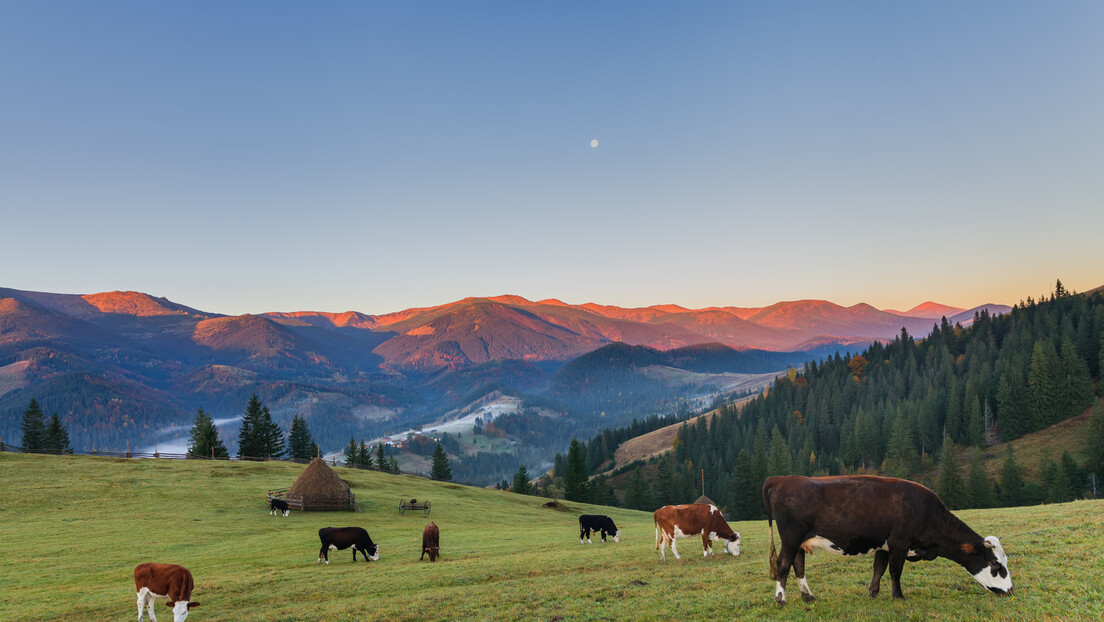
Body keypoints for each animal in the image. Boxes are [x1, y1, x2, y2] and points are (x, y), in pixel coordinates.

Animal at [763, 477, 1011, 605]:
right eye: (994, 563)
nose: (1010, 590)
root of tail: (783, 479)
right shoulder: (899, 543)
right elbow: (894, 571)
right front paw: (898, 596)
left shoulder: (884, 544)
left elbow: (879, 568)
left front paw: (873, 593)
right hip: (791, 538)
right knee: (783, 565)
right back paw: (781, 599)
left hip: (800, 541)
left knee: (798, 565)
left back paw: (808, 596)